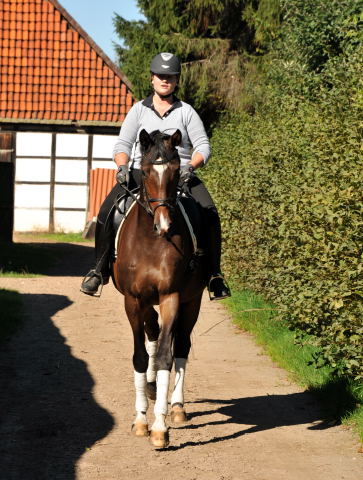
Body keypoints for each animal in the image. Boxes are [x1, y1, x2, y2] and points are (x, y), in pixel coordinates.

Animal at [111, 128, 208, 450]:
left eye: (177, 171)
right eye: (144, 171)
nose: (164, 224)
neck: (152, 242)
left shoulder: (171, 297)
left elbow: (167, 355)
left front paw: (159, 426)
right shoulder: (133, 300)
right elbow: (141, 356)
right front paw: (141, 419)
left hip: (192, 302)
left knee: (182, 345)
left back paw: (175, 406)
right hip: (146, 303)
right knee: (152, 332)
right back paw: (153, 389)